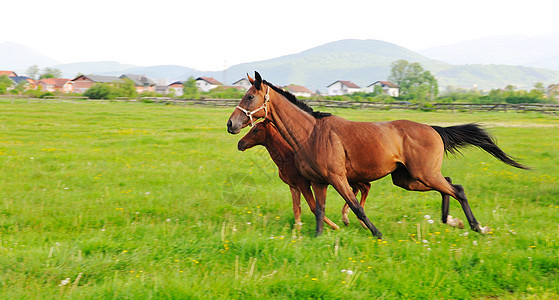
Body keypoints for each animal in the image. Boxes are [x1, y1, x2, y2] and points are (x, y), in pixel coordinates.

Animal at [237, 119, 372, 230]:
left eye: (255, 130)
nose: (240, 143)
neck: (287, 157)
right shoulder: (293, 186)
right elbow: (296, 209)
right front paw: (297, 232)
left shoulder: (303, 184)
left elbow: (313, 207)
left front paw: (334, 226)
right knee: (362, 188)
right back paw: (348, 218)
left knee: (364, 187)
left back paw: (358, 221)